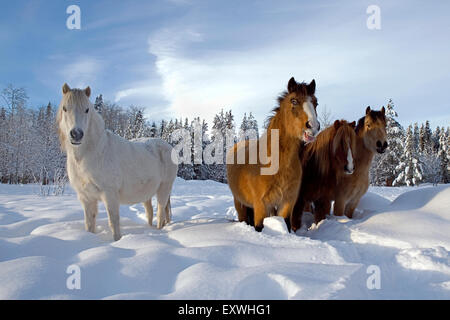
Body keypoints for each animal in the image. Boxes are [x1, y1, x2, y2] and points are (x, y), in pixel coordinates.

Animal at [55, 83, 177, 240]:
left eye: (87, 109)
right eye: (65, 108)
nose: (76, 134)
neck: (92, 153)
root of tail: (168, 146)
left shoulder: (110, 194)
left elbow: (113, 221)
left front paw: (117, 241)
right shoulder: (86, 198)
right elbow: (89, 224)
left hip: (164, 188)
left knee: (161, 213)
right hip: (148, 194)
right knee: (150, 213)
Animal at [229, 78, 320, 232]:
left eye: (315, 103)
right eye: (294, 100)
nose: (313, 126)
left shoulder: (287, 202)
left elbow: (286, 223)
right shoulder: (261, 205)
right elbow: (259, 226)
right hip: (240, 202)